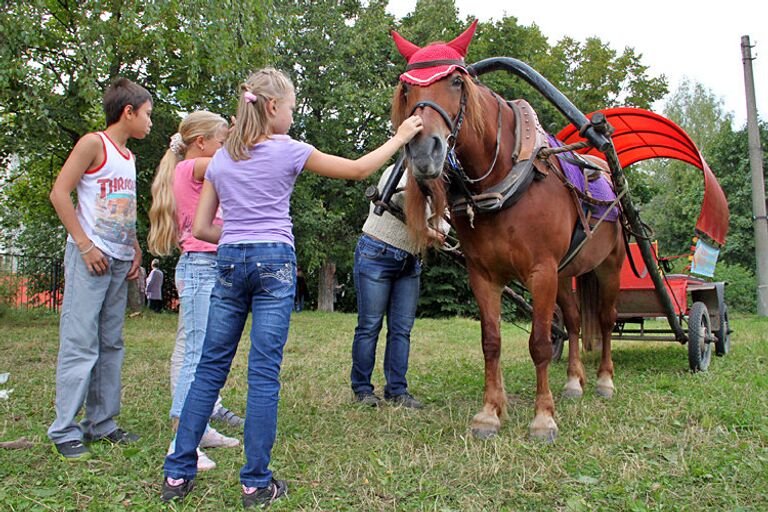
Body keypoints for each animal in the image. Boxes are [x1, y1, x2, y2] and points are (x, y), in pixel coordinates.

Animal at [392, 23, 628, 440]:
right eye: (407, 89)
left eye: (456, 81)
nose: (423, 152)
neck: (506, 177)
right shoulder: (484, 274)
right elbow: (492, 341)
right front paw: (489, 413)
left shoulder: (541, 271)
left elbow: (539, 343)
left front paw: (543, 417)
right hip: (565, 274)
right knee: (573, 321)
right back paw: (573, 382)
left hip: (608, 267)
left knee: (603, 319)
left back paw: (603, 380)